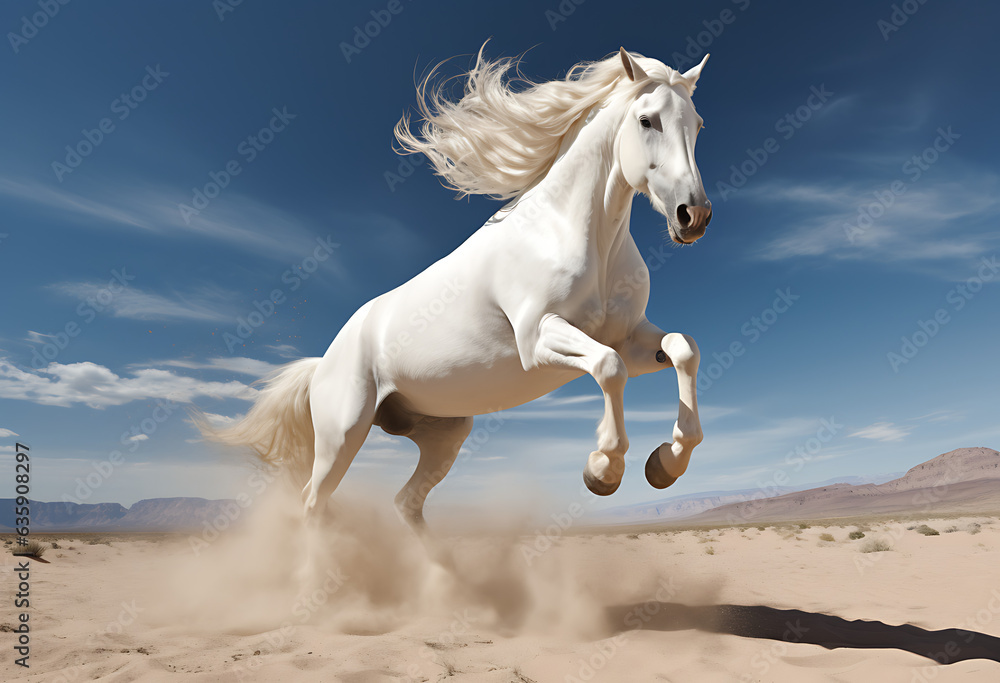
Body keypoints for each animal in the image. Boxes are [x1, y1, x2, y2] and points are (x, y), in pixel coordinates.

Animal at [197, 46, 711, 548]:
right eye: (646, 120)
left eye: (698, 124)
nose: (694, 216)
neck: (572, 233)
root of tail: (323, 362)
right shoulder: (539, 338)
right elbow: (608, 367)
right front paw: (603, 470)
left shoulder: (631, 337)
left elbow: (683, 348)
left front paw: (665, 463)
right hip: (343, 434)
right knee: (312, 504)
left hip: (444, 432)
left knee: (404, 504)